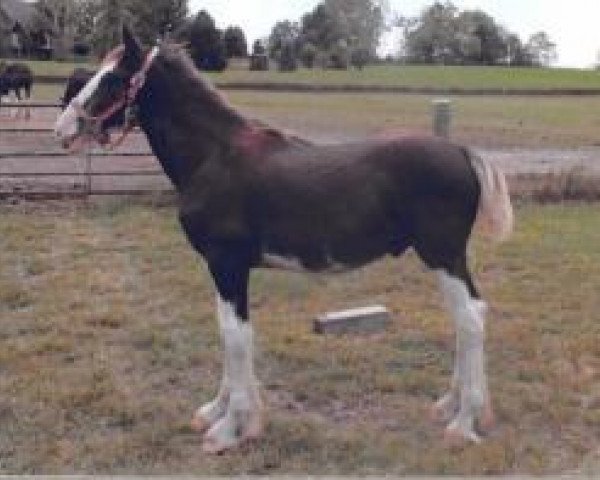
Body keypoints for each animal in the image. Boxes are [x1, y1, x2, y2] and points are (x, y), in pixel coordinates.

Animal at [56, 28, 512, 456]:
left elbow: (236, 336)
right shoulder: (222, 270)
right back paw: (451, 406)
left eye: (113, 76)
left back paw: (463, 424)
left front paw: (230, 429)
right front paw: (217, 412)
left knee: (470, 319)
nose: (63, 128)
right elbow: (228, 332)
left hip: (443, 255)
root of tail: (460, 150)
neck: (214, 157)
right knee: (466, 317)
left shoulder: (227, 265)